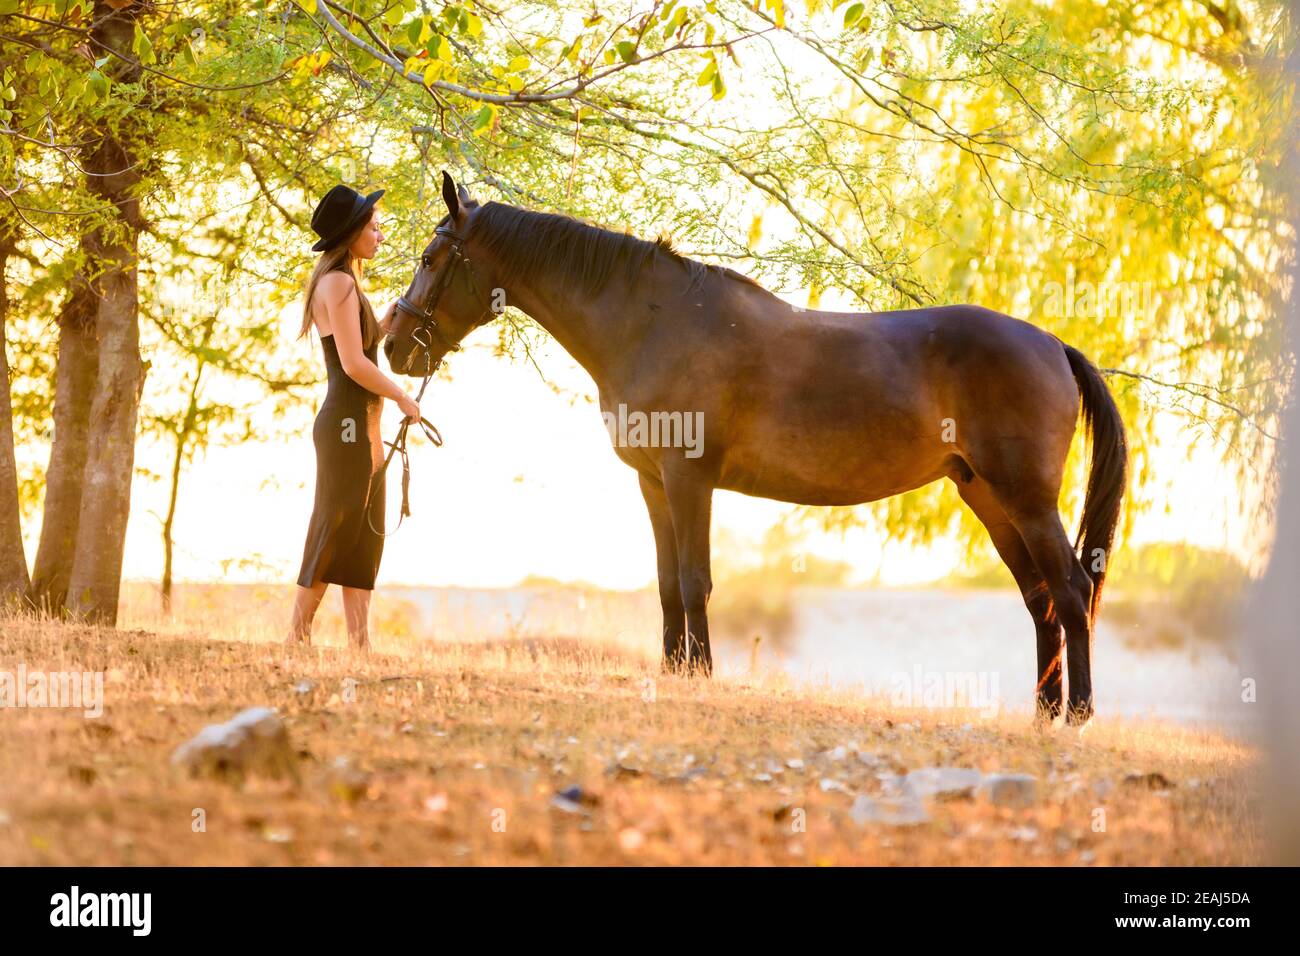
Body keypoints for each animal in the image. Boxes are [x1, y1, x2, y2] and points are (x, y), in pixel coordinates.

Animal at [384, 174, 1128, 723]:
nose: (391, 346)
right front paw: (674, 672)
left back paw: (1079, 715)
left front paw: (700, 675)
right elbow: (666, 584)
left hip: (1025, 500)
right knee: (1040, 600)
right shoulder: (653, 483)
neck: (652, 324)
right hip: (988, 498)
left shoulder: (690, 478)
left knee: (1069, 591)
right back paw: (1043, 715)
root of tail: (1052, 344)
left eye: (429, 259)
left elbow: (695, 580)